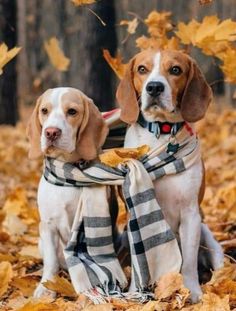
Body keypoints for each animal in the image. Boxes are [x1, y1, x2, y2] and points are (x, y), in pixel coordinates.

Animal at [27, 87, 108, 298]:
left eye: (72, 111)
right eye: (44, 111)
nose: (51, 132)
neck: (66, 172)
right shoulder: (48, 225)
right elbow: (51, 262)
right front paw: (46, 287)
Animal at [117, 50, 224, 304]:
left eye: (175, 70)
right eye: (142, 69)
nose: (154, 87)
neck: (162, 134)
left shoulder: (191, 215)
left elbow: (188, 263)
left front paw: (192, 292)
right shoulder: (134, 216)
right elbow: (138, 261)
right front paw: (135, 291)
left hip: (209, 238)